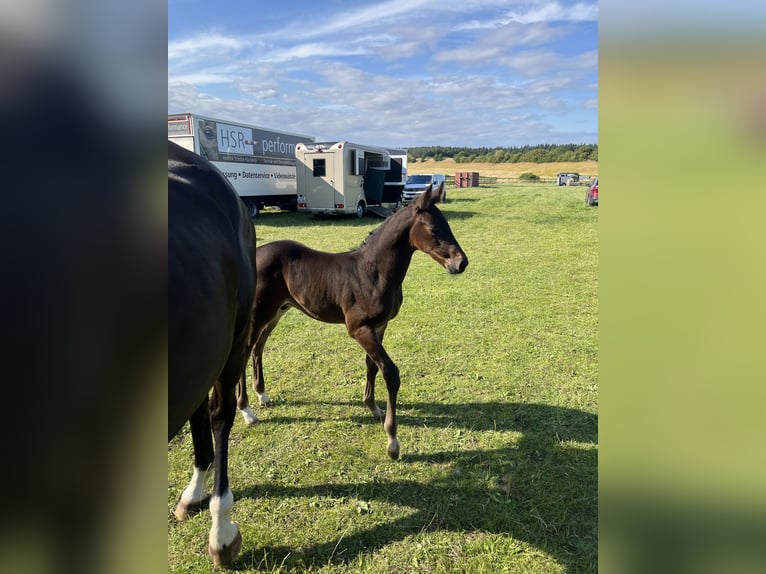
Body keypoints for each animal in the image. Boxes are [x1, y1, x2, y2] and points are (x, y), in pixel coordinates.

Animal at [236, 184, 468, 460]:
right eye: (433, 230)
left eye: (448, 224)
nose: (461, 263)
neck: (374, 272)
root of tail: (256, 253)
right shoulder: (359, 329)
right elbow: (390, 372)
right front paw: (392, 441)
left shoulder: (378, 326)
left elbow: (372, 366)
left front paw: (374, 408)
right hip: (258, 314)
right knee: (245, 351)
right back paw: (247, 412)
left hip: (277, 312)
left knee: (258, 348)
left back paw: (262, 395)